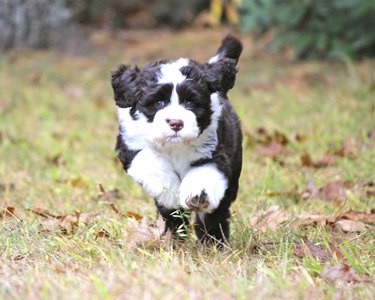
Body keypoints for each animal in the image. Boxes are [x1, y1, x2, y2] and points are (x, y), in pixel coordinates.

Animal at [111, 34, 244, 244]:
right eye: (158, 102)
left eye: (190, 102)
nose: (175, 123)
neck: (174, 146)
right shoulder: (130, 146)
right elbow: (151, 163)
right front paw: (170, 191)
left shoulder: (214, 153)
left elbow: (204, 176)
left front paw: (198, 195)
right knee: (172, 215)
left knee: (216, 211)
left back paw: (213, 241)